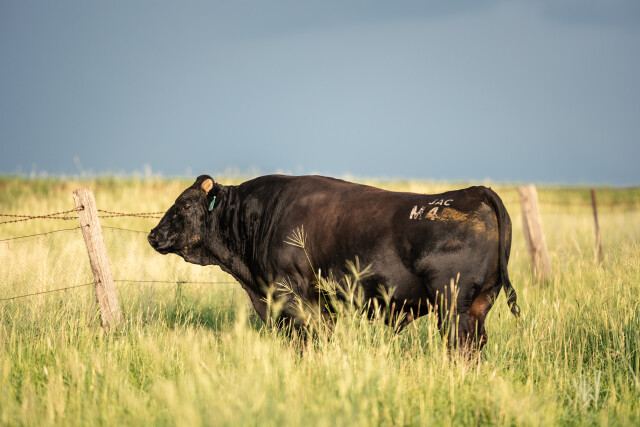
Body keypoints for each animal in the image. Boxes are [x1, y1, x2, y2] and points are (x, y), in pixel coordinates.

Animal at [148, 174, 521, 349]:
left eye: (183, 205)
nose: (153, 234)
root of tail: (474, 191)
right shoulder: (322, 306)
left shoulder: (293, 298)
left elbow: (305, 342)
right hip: (479, 305)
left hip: (453, 306)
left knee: (461, 346)